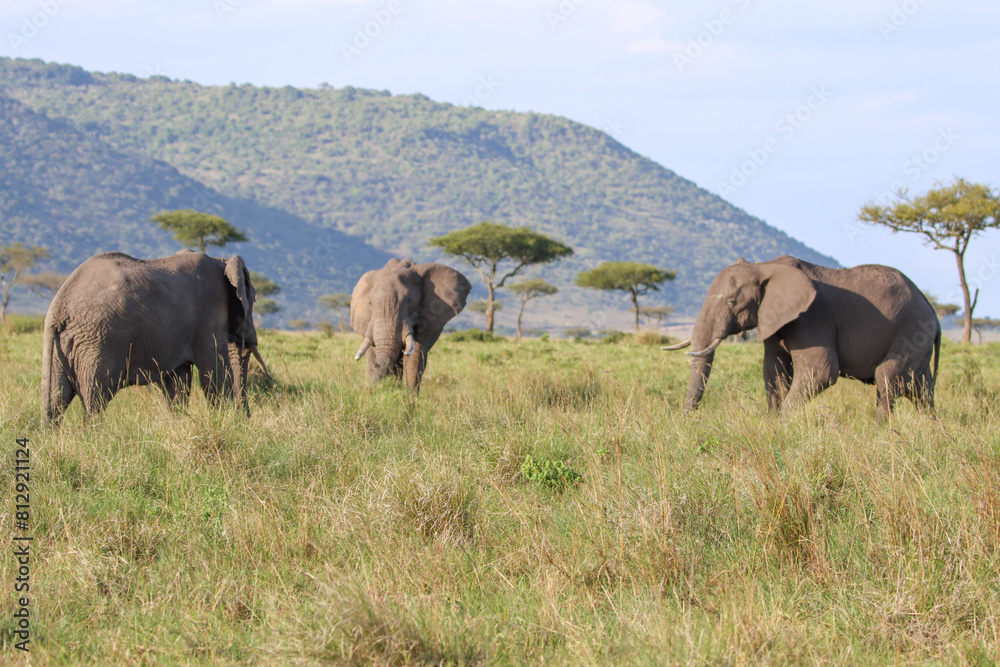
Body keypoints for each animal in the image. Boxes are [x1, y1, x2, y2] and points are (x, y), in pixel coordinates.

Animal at [42, 250, 270, 422]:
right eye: (253, 300)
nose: (245, 421)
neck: (221, 260)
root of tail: (58, 307)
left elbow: (177, 383)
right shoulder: (208, 316)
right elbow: (214, 377)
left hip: (63, 347)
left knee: (55, 401)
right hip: (98, 341)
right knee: (95, 400)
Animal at [350, 258, 470, 392]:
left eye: (410, 301)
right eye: (370, 303)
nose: (370, 389)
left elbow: (415, 355)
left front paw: (407, 395)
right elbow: (373, 352)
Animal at [664, 256, 936, 418]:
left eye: (732, 302)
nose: (687, 419)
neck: (764, 266)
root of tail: (930, 307)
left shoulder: (811, 317)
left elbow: (821, 370)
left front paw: (781, 423)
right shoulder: (775, 318)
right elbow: (774, 371)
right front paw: (772, 422)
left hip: (912, 330)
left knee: (887, 378)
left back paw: (879, 430)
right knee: (921, 388)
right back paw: (932, 427)